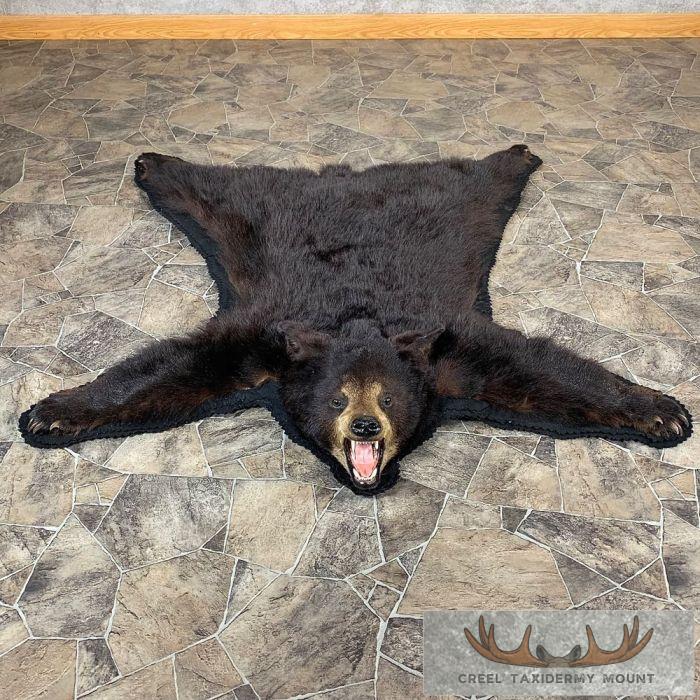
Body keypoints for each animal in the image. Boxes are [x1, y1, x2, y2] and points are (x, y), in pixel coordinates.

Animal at [23, 146, 692, 492]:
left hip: (458, 202)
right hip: (251, 213)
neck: (359, 319)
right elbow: (181, 368)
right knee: (210, 186)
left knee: (481, 174)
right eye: (339, 398)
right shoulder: (268, 338)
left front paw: (662, 411)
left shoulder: (447, 348)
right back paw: (152, 161)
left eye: (388, 399)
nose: (367, 427)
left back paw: (516, 154)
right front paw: (50, 413)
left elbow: (536, 370)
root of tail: (346, 178)